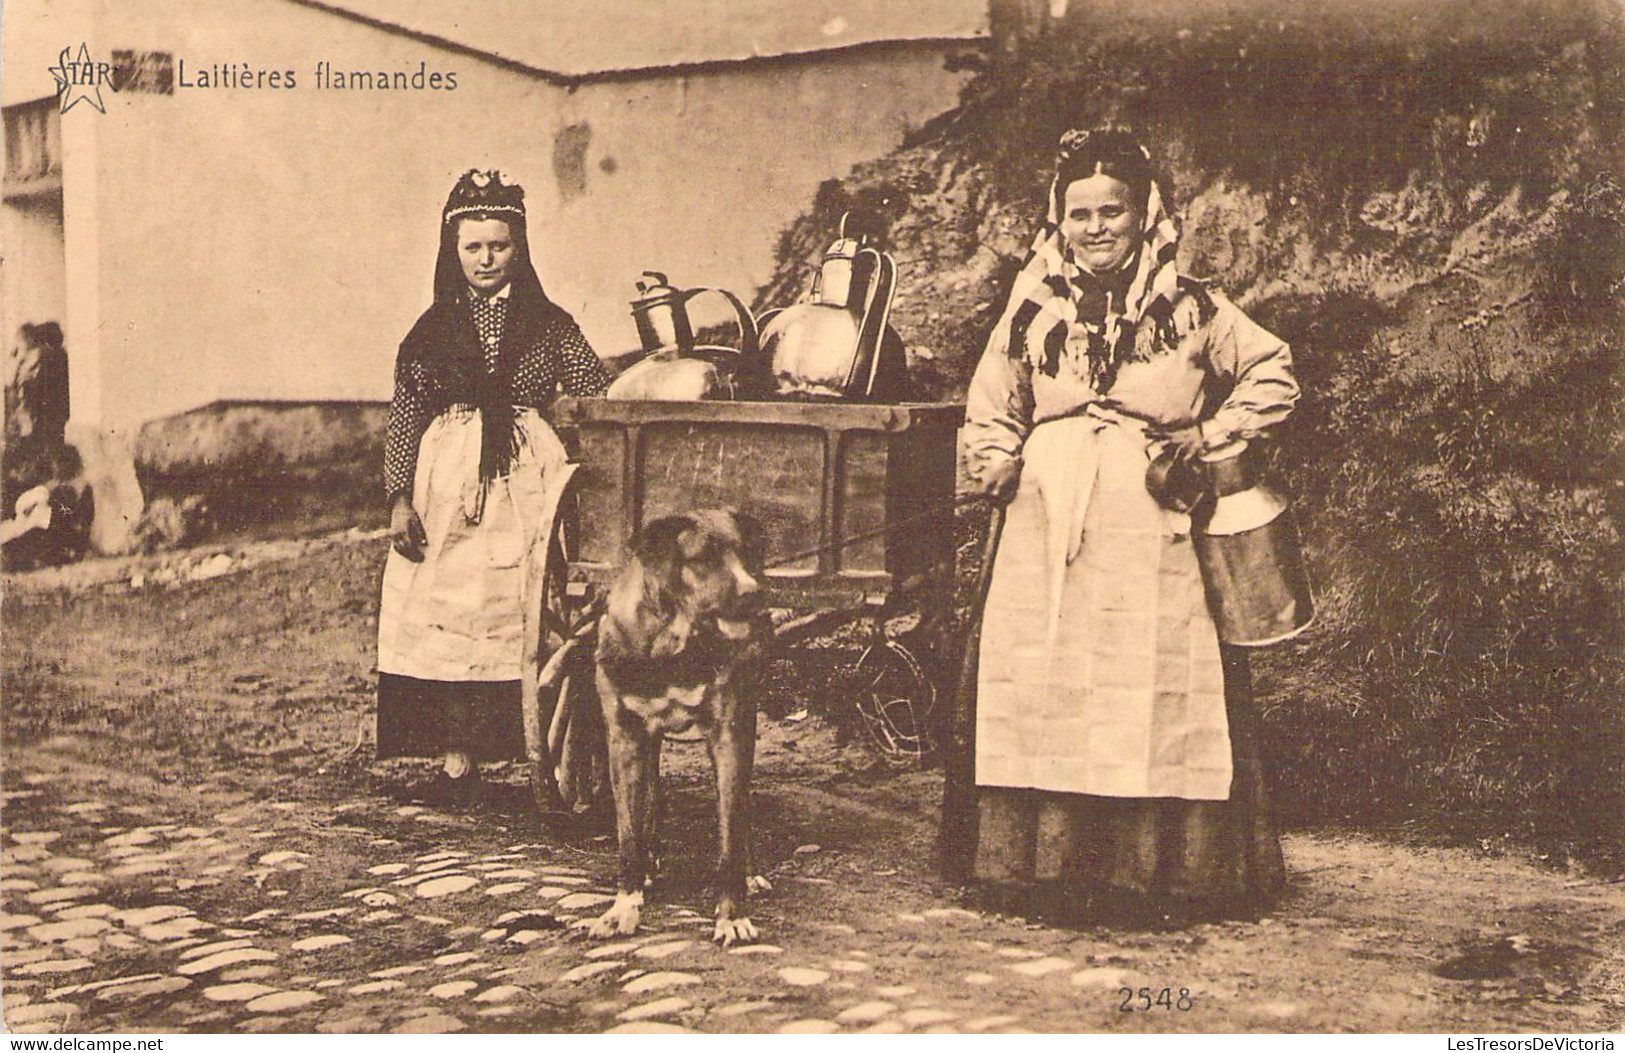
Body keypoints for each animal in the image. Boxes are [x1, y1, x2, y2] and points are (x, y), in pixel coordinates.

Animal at [588, 510, 770, 949]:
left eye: (744, 552)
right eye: (703, 557)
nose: (753, 592)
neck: (672, 643)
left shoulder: (730, 733)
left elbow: (729, 837)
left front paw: (731, 915)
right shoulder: (624, 737)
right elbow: (627, 835)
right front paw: (623, 904)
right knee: (653, 796)